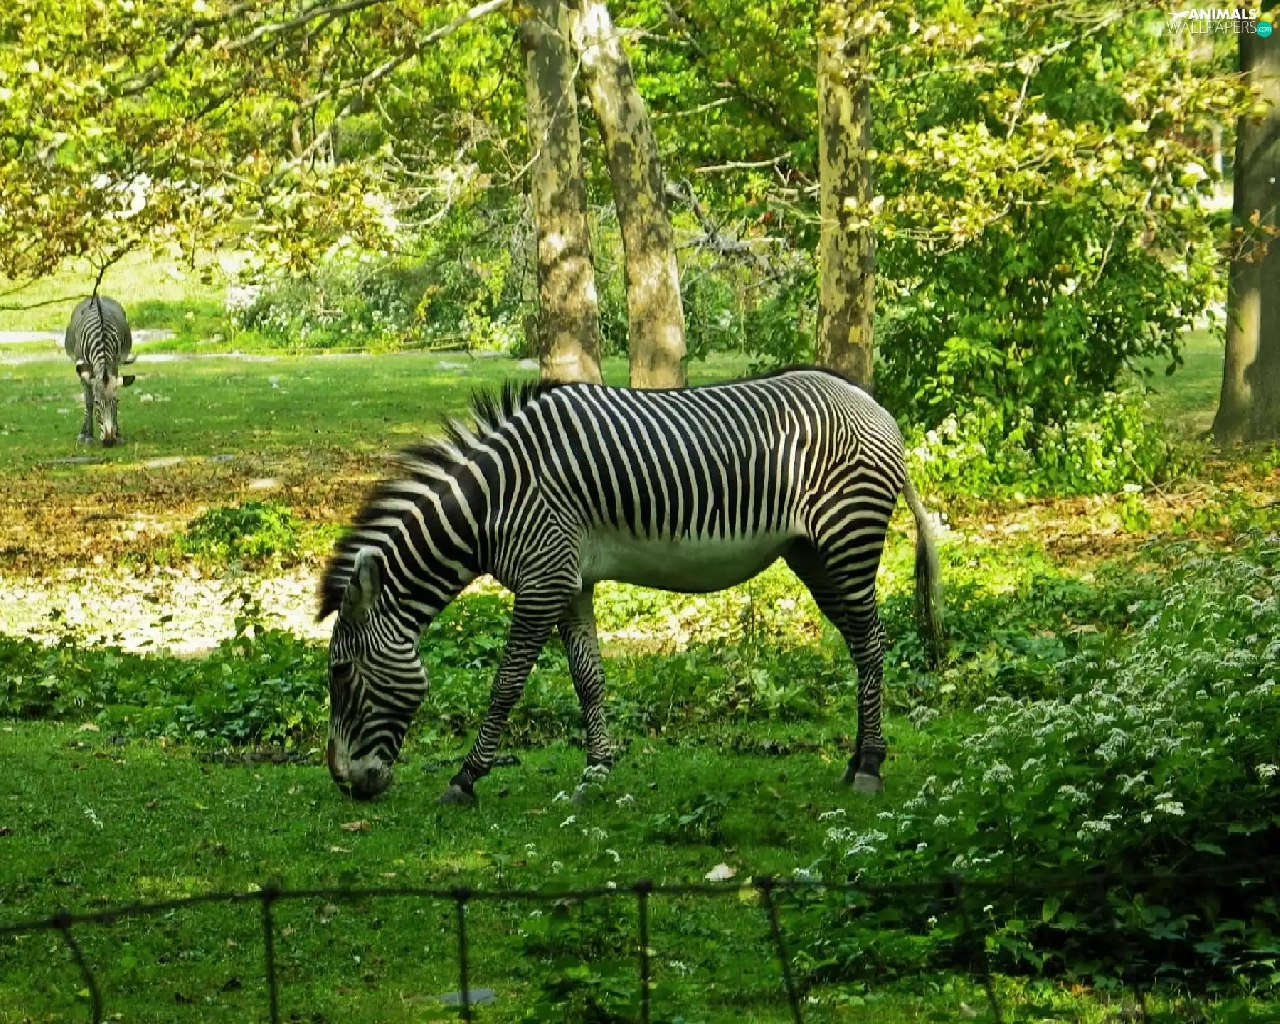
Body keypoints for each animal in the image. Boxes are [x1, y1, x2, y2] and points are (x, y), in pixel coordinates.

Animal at [64, 295, 136, 446]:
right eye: (98, 403)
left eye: (116, 402)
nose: (109, 441)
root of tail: (97, 296)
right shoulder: (84, 368)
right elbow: (88, 402)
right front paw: (88, 436)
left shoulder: (114, 364)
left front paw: (118, 434)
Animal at [320, 367, 946, 805]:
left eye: (341, 673)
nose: (346, 783)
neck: (494, 501)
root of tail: (874, 405)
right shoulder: (568, 582)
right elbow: (587, 680)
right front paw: (597, 771)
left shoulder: (542, 580)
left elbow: (506, 684)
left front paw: (466, 777)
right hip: (814, 555)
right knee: (861, 644)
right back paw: (855, 760)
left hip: (847, 539)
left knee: (872, 644)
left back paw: (870, 766)